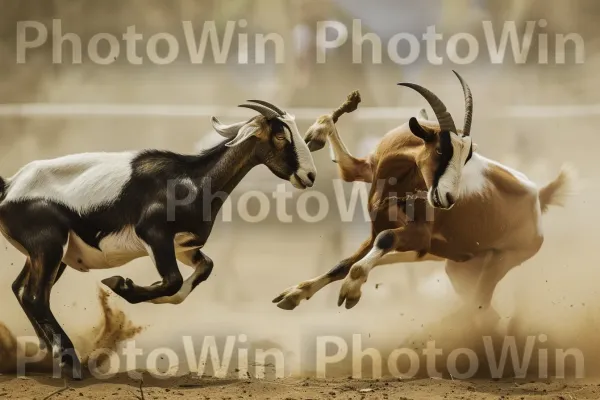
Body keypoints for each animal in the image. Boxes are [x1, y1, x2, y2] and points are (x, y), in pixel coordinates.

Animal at [0, 101, 316, 378]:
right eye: (280, 135)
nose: (309, 175)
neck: (191, 179)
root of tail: (10, 186)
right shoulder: (155, 236)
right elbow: (173, 280)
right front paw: (120, 283)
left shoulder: (183, 246)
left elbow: (200, 272)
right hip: (49, 247)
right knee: (35, 296)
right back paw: (70, 364)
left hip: (51, 255)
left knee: (21, 290)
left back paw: (48, 354)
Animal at [274, 72, 576, 314]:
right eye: (441, 149)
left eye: (467, 156)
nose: (448, 198)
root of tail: (538, 195)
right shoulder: (365, 177)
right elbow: (343, 262)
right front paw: (293, 295)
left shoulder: (416, 234)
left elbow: (380, 242)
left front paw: (351, 290)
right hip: (460, 269)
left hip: (496, 264)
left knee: (480, 311)